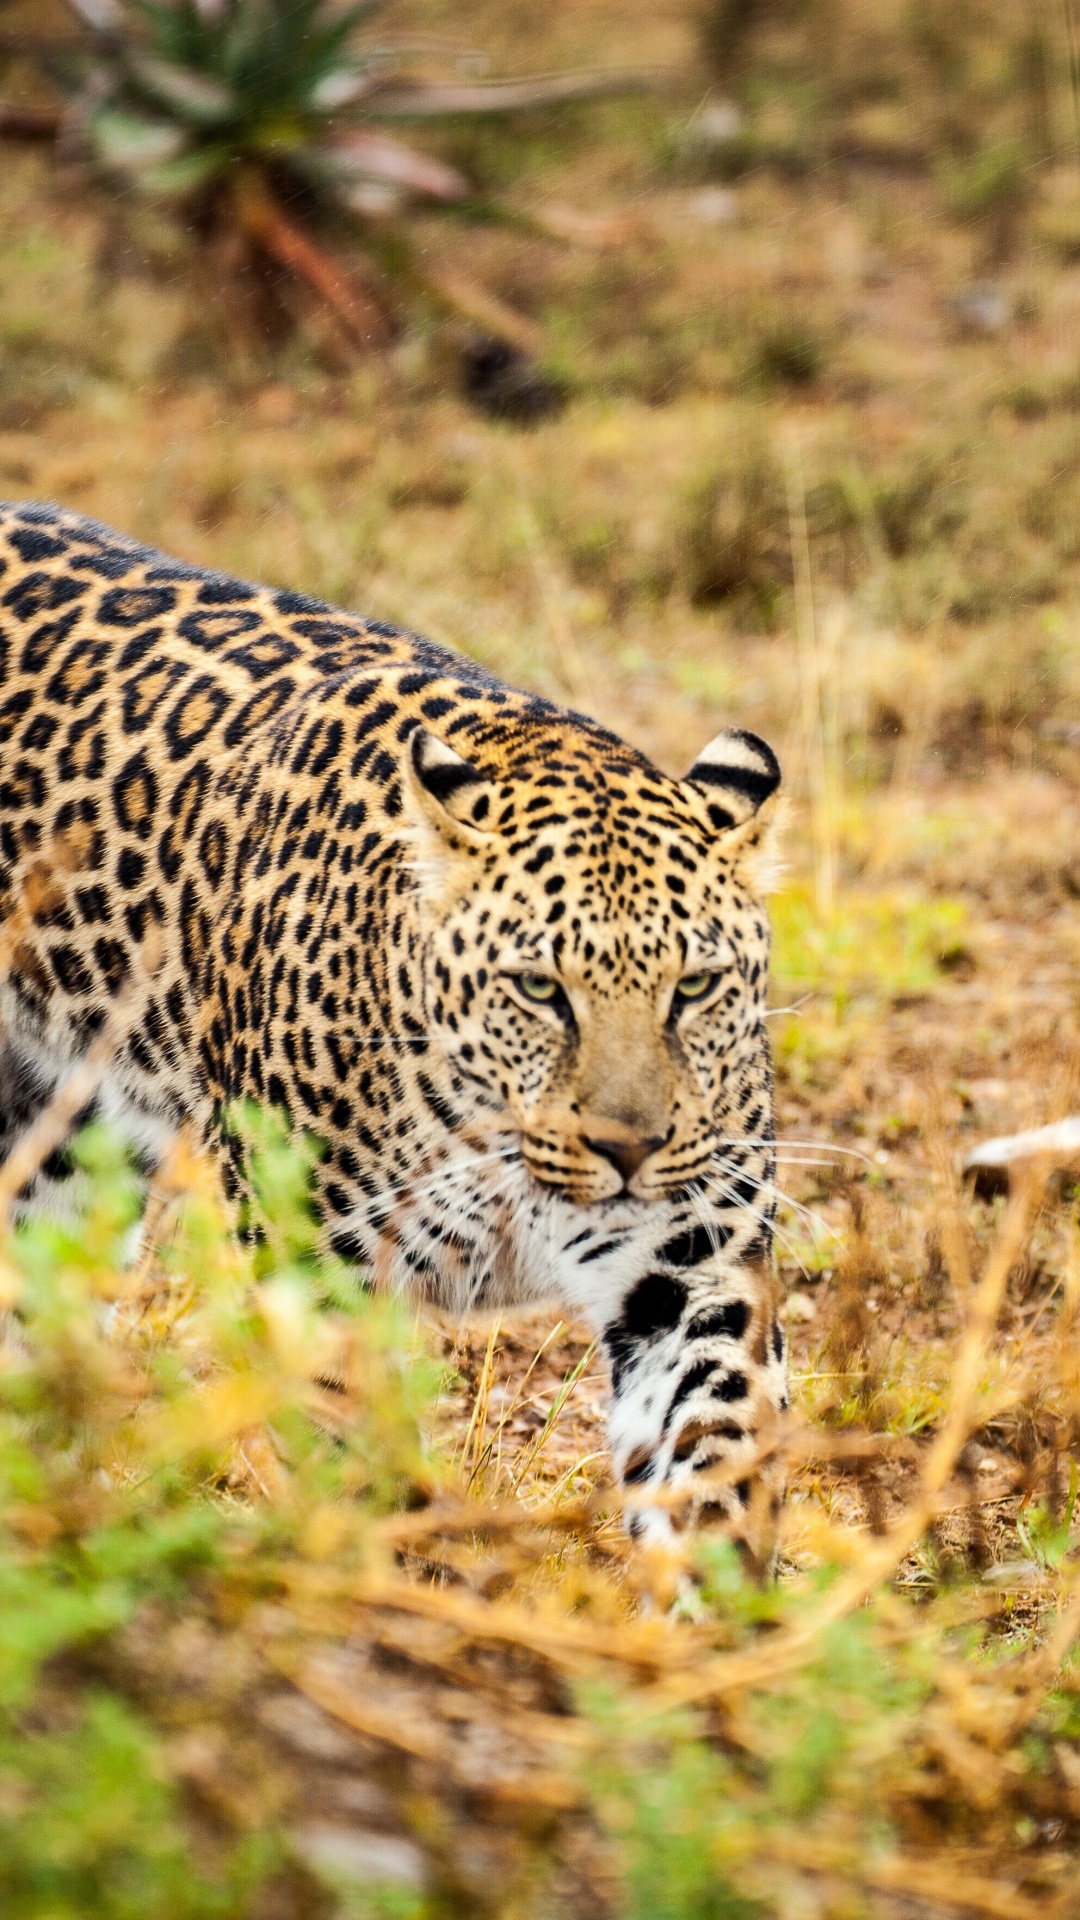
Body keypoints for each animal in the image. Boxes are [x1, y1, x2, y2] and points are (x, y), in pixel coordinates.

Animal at [0, 498, 790, 1547]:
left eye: (695, 986)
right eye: (540, 988)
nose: (629, 1148)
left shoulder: (694, 1271)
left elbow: (710, 1457)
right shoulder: (310, 1267)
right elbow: (354, 1464)